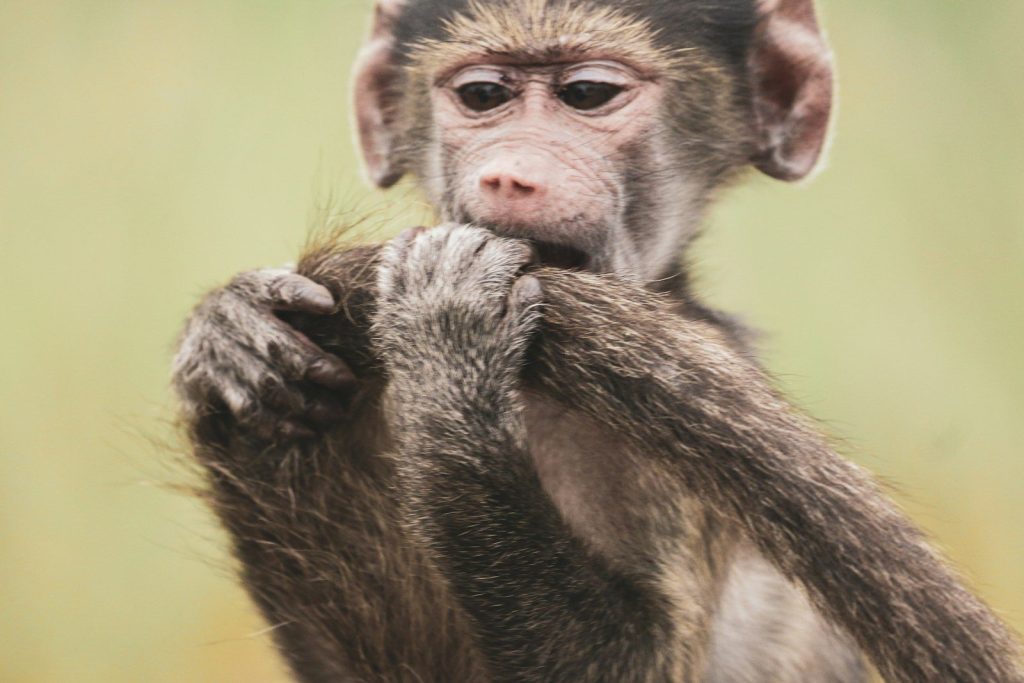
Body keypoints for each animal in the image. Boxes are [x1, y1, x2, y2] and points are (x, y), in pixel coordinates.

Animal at [172, 0, 1024, 682]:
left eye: (587, 95)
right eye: (483, 96)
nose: (510, 176)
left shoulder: (682, 413)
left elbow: (638, 663)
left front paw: (449, 345)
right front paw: (233, 334)